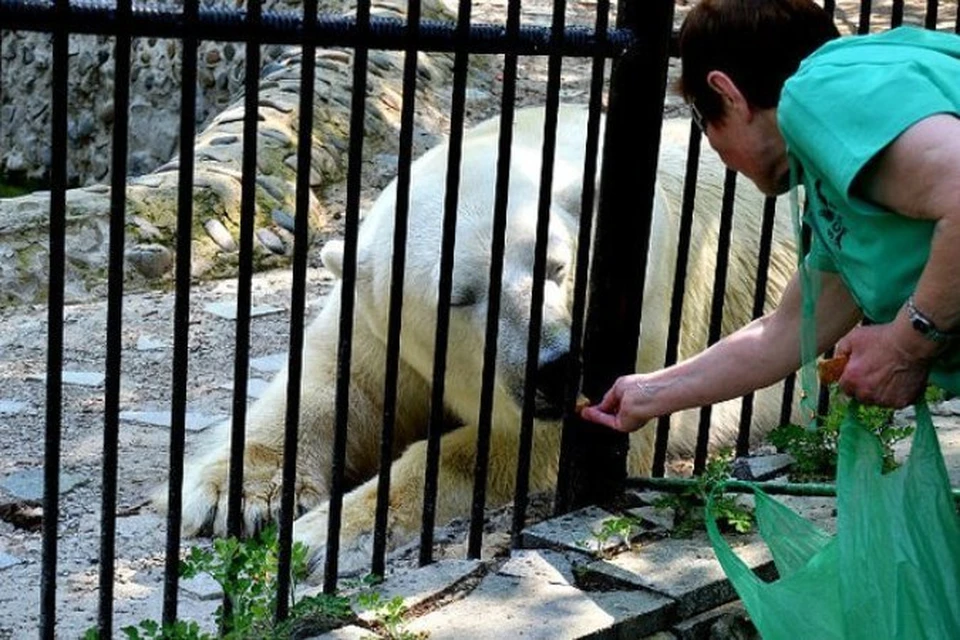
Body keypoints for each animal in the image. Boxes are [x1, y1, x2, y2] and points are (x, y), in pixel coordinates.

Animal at [172, 105, 796, 576]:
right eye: (458, 296)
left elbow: (521, 441)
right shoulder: (373, 311)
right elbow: (336, 382)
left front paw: (325, 532)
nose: (555, 366)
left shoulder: (640, 298)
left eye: (555, 267)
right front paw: (236, 496)